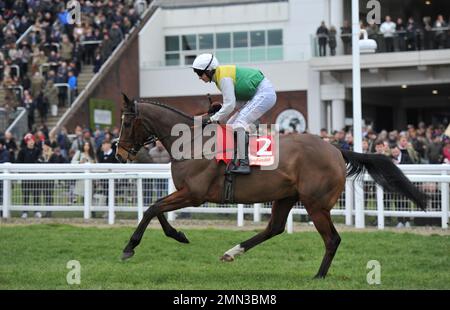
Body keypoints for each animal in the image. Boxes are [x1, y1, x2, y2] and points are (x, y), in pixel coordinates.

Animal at [115, 94, 426, 278]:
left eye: (127, 122)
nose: (118, 153)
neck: (190, 141)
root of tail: (337, 149)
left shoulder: (194, 194)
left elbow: (152, 208)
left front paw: (130, 247)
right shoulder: (186, 194)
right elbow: (157, 209)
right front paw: (178, 234)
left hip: (315, 204)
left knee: (332, 239)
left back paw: (318, 276)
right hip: (286, 196)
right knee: (274, 228)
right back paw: (232, 252)